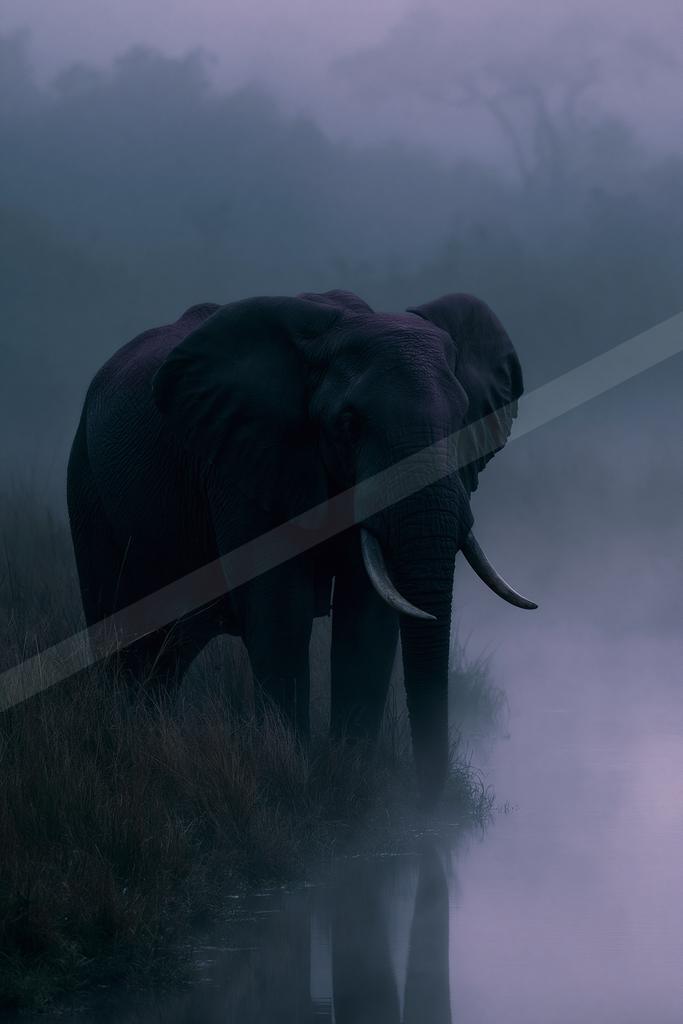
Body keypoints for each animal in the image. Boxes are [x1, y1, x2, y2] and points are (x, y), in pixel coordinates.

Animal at [67, 288, 535, 805]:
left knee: (170, 645)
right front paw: (291, 772)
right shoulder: (243, 463)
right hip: (86, 484)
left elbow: (366, 615)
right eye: (349, 424)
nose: (430, 809)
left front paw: (353, 776)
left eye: (462, 418)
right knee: (121, 626)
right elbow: (279, 609)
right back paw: (121, 731)